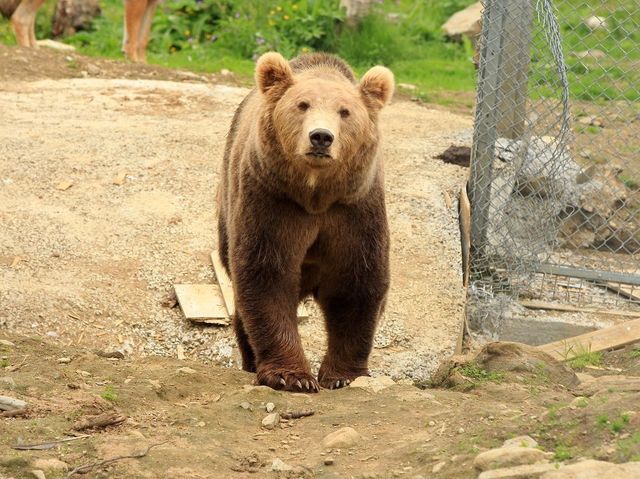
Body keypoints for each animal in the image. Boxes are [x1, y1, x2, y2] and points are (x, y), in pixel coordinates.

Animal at [218, 50, 392, 392]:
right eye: (302, 105)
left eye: (344, 112)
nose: (321, 137)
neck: (315, 194)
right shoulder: (273, 201)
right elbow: (266, 275)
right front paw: (292, 376)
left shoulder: (354, 208)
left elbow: (357, 281)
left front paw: (343, 375)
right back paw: (250, 359)